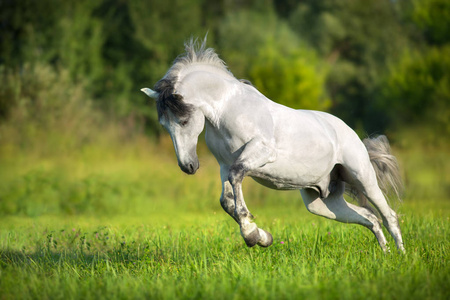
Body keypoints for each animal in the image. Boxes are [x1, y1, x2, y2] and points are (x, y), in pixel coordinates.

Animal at [142, 38, 406, 252]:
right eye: (164, 125)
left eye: (184, 120)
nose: (187, 166)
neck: (227, 110)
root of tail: (350, 132)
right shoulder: (223, 166)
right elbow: (226, 201)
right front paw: (262, 236)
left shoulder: (259, 153)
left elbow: (237, 178)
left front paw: (251, 234)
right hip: (323, 202)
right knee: (370, 218)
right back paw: (384, 253)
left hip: (363, 179)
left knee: (388, 216)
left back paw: (400, 256)